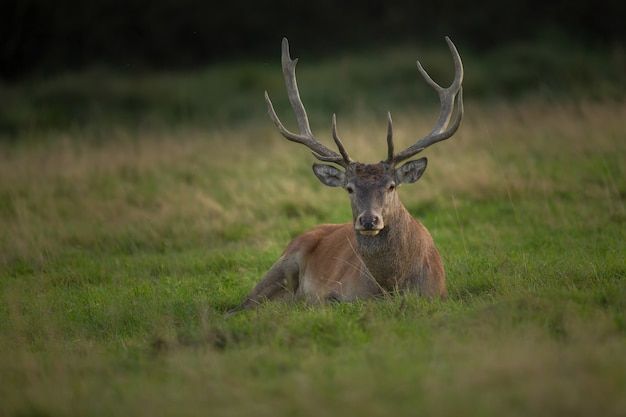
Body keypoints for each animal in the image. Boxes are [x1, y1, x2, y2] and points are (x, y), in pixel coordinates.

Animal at [232, 37, 460, 310]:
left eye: (391, 186)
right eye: (350, 188)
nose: (369, 220)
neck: (392, 285)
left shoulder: (438, 292)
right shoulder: (337, 292)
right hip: (283, 263)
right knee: (243, 305)